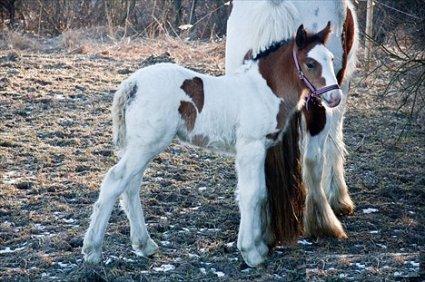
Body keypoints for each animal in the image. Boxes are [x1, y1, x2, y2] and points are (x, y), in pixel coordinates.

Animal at [82, 23, 342, 266]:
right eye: (310, 63)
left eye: (331, 59)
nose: (335, 97)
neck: (263, 91)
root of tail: (132, 83)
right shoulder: (251, 147)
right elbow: (252, 194)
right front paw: (251, 252)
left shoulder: (259, 150)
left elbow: (260, 193)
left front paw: (258, 246)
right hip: (146, 145)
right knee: (115, 180)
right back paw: (92, 250)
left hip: (140, 146)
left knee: (131, 186)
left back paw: (144, 244)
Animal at [225, 0, 358, 240]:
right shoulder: (336, 91)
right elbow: (331, 145)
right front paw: (336, 202)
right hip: (322, 101)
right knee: (315, 158)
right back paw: (323, 219)